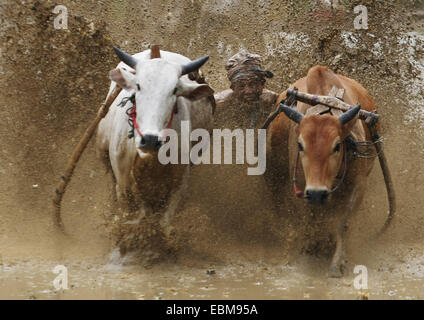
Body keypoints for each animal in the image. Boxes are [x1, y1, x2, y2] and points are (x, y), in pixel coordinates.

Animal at [97, 46, 214, 254]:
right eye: (138, 86)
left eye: (174, 90)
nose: (150, 140)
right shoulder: (122, 179)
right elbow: (132, 210)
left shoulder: (180, 180)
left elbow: (164, 221)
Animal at [266, 65, 380, 278]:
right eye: (300, 145)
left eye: (337, 146)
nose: (318, 193)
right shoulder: (302, 188)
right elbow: (309, 220)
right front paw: (310, 251)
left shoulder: (358, 185)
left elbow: (343, 224)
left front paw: (337, 262)